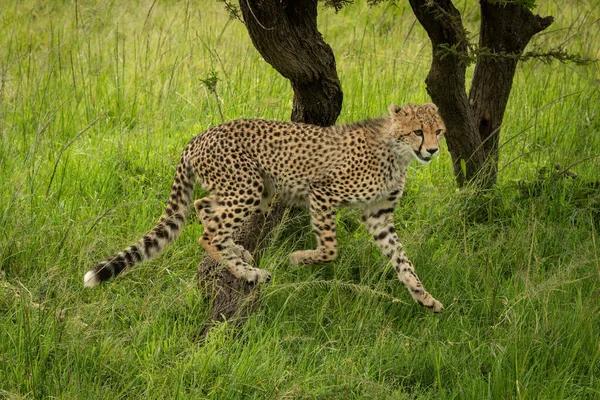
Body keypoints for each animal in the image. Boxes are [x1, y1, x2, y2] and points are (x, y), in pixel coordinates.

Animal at [86, 102, 448, 312]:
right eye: (418, 131)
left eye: (440, 131)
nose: (432, 151)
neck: (397, 152)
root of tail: (199, 136)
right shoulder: (322, 192)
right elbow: (330, 248)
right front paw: (299, 258)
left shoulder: (378, 215)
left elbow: (402, 260)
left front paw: (424, 297)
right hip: (249, 186)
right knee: (208, 234)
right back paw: (248, 272)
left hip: (242, 189)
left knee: (205, 208)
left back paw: (237, 252)